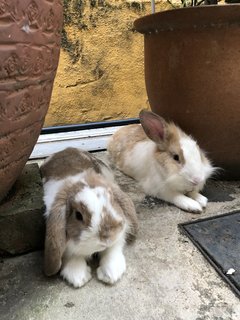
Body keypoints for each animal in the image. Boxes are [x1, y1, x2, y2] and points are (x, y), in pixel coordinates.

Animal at [40, 148, 138, 288]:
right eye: (78, 215)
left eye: (112, 201)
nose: (106, 239)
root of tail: (66, 149)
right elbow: (70, 254)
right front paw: (78, 277)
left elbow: (113, 248)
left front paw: (111, 274)